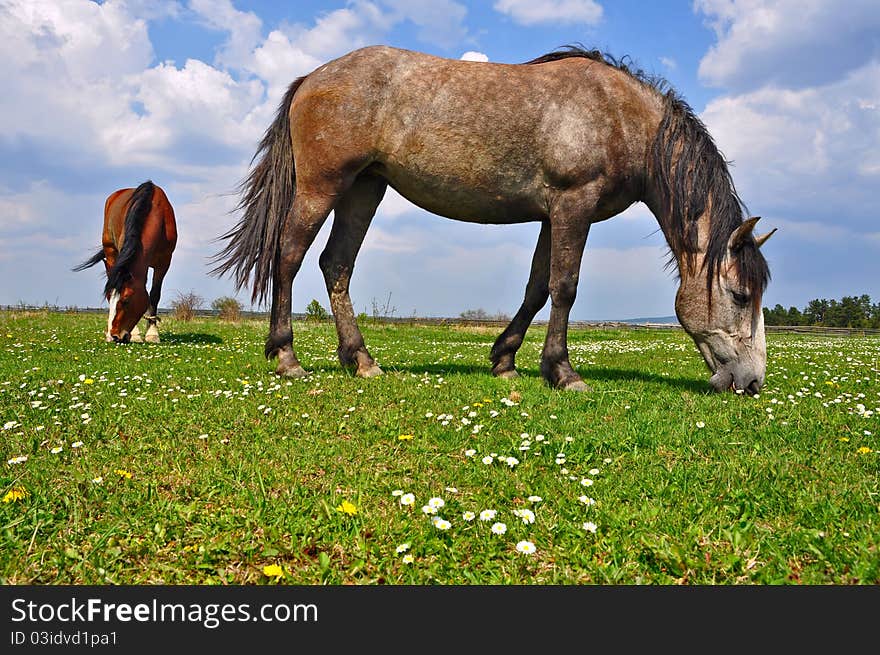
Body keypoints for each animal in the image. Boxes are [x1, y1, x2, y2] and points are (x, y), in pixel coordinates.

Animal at [75, 179, 179, 344]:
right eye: (108, 298)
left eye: (126, 300)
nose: (113, 336)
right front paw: (136, 334)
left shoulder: (164, 263)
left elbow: (154, 295)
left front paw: (152, 333)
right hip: (111, 251)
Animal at [213, 47, 776, 394]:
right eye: (740, 296)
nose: (752, 383)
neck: (619, 116)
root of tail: (313, 77)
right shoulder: (574, 206)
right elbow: (565, 287)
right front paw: (562, 372)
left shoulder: (555, 215)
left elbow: (538, 288)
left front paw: (505, 360)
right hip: (322, 186)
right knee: (289, 255)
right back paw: (287, 358)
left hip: (363, 190)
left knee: (336, 265)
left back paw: (362, 360)